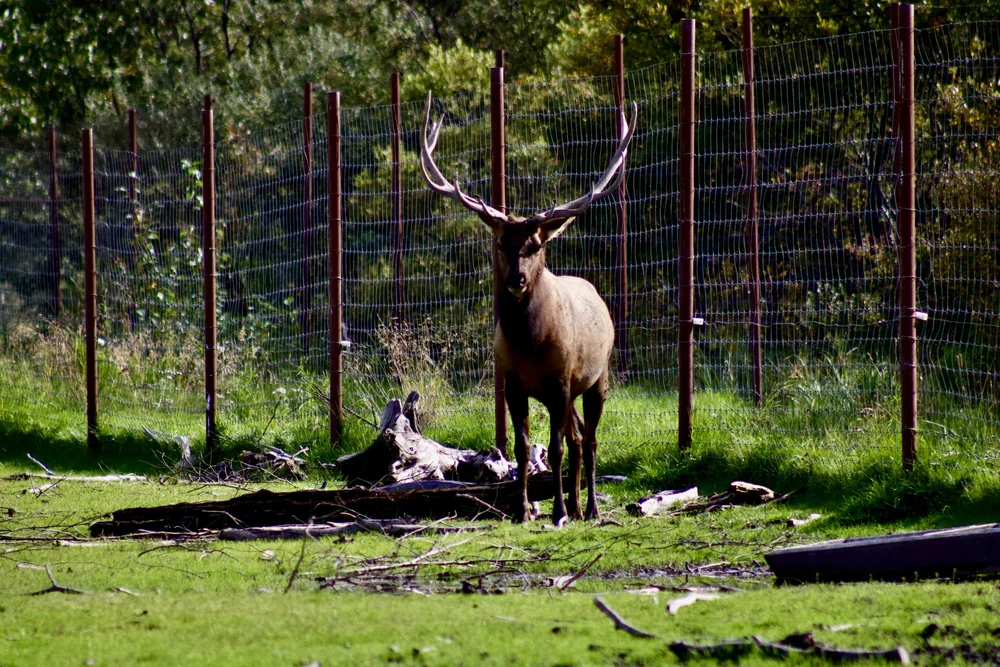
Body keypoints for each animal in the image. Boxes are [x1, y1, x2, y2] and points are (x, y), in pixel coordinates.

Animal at [420, 92, 637, 526]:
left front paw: (556, 512)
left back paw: (589, 507)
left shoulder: (560, 381)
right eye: (501, 242)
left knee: (589, 439)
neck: (530, 345)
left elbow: (554, 449)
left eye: (535, 245)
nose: (517, 279)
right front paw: (523, 510)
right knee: (578, 436)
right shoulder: (513, 383)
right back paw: (576, 505)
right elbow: (521, 449)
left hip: (598, 376)